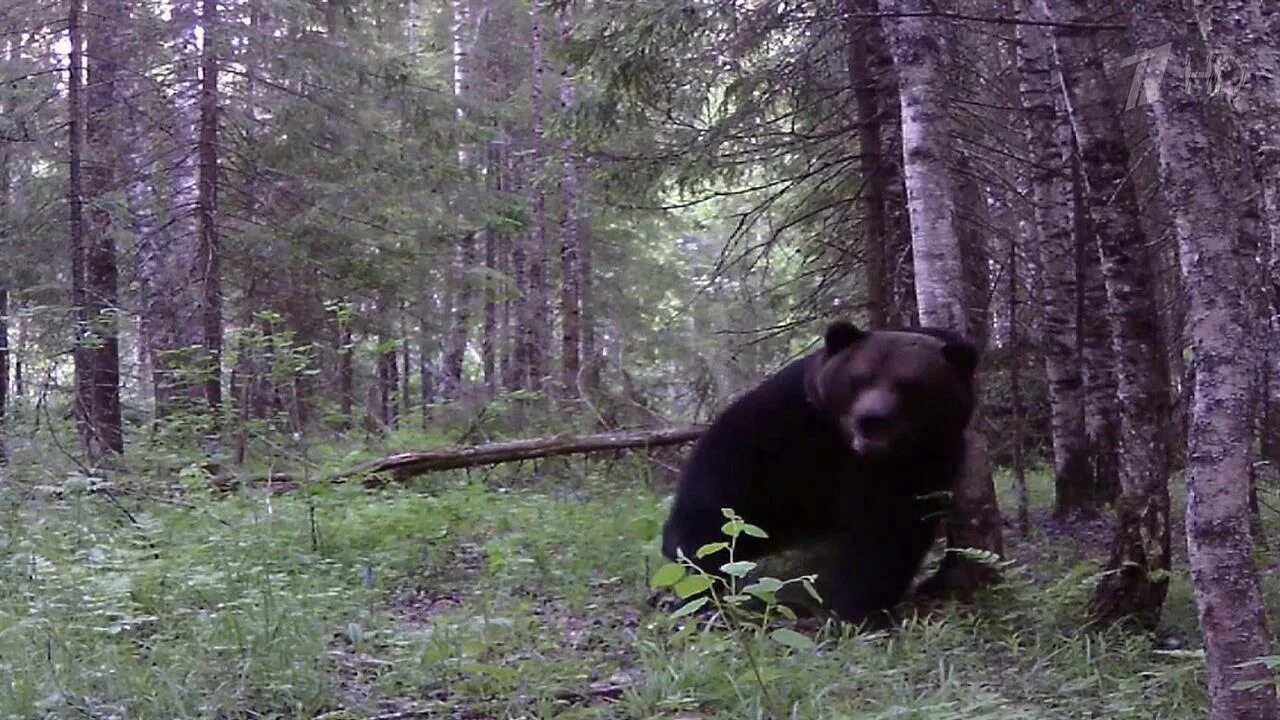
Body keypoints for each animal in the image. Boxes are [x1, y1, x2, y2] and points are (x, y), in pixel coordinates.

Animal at [660, 317, 977, 622]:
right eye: (860, 378)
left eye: (910, 385)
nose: (872, 419)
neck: (853, 451)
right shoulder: (787, 420)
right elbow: (720, 498)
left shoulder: (922, 462)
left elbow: (887, 535)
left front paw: (859, 609)